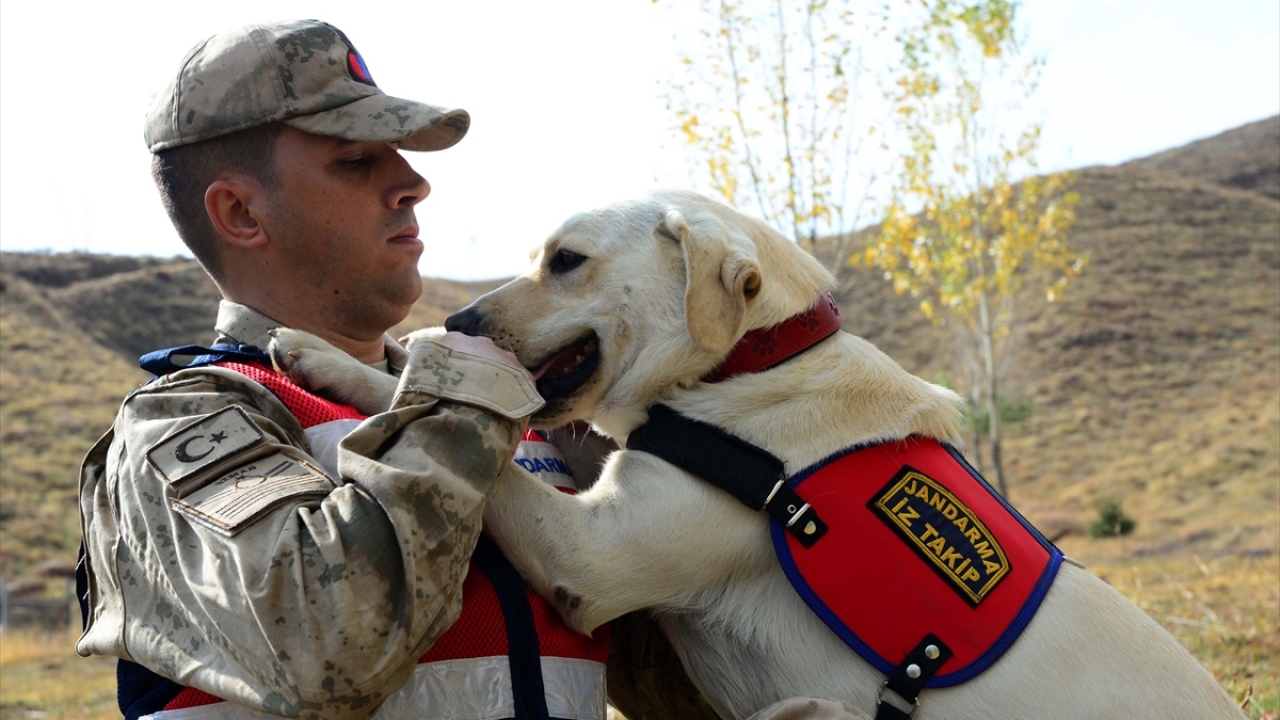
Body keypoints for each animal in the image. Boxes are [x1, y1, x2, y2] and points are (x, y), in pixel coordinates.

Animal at [271, 190, 1243, 719]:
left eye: (567, 260)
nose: (463, 318)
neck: (754, 358)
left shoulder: (589, 552)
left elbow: (495, 456)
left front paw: (335, 361)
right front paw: (378, 354)